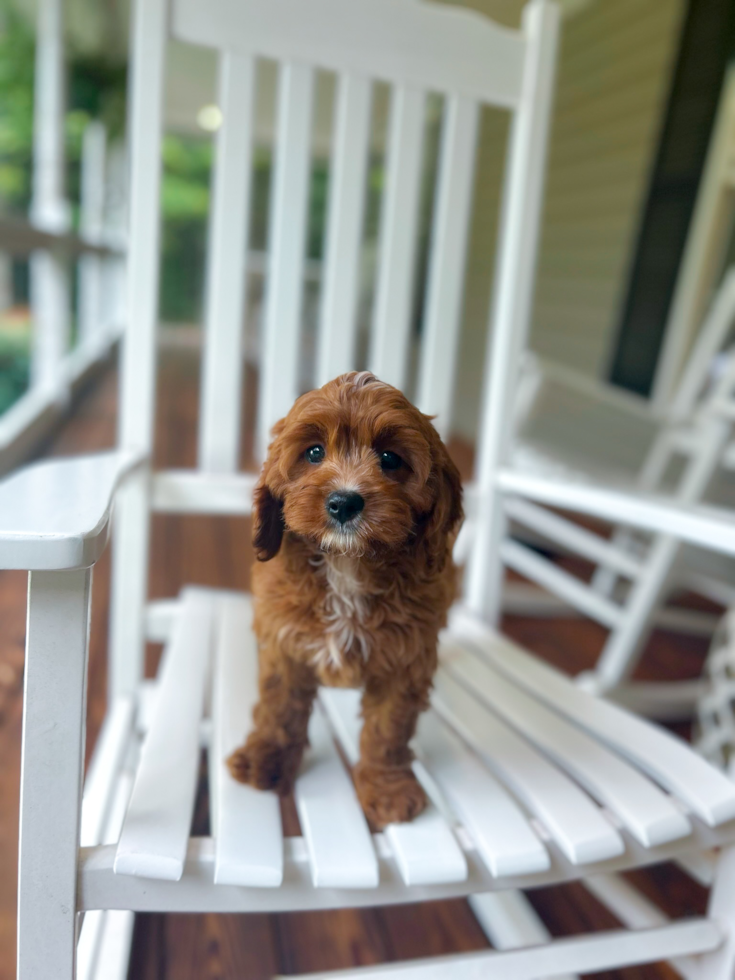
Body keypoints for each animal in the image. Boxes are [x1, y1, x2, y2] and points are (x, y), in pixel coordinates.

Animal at [227, 370, 462, 828]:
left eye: (390, 458)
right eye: (314, 452)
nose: (344, 501)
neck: (347, 564)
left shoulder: (406, 659)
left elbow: (388, 729)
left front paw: (387, 789)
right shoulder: (284, 642)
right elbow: (280, 705)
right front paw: (266, 758)